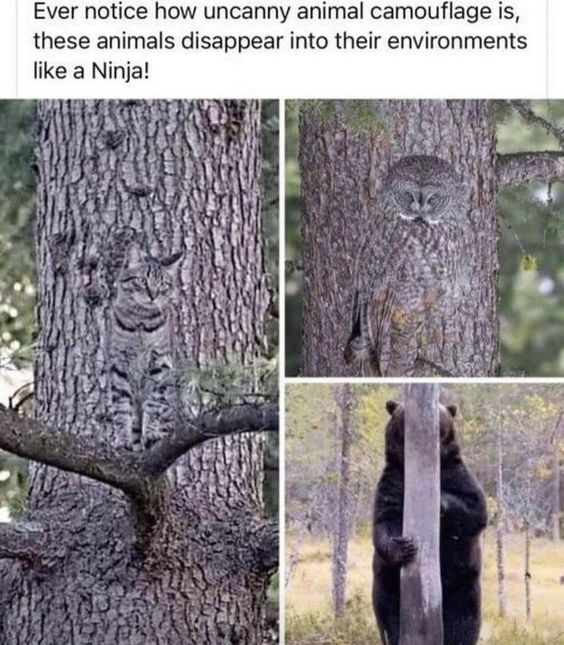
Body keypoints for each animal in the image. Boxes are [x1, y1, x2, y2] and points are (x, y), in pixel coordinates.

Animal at [372, 400, 487, 645]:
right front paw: (404, 547)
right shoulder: (394, 480)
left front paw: (439, 501)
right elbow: (385, 520)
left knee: (464, 620)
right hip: (388, 585)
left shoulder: (456, 473)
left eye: (441, 414)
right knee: (389, 617)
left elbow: (475, 508)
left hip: (464, 585)